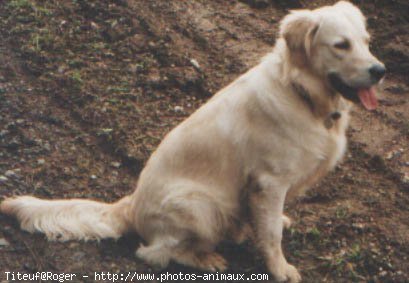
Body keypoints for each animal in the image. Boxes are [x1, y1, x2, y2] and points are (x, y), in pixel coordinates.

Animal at [0, 1, 382, 282]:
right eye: (341, 45)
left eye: (366, 41)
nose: (380, 71)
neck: (301, 93)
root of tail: (131, 205)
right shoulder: (268, 181)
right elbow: (271, 234)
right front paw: (280, 269)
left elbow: (271, 222)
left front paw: (278, 224)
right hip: (202, 205)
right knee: (154, 253)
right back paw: (207, 258)